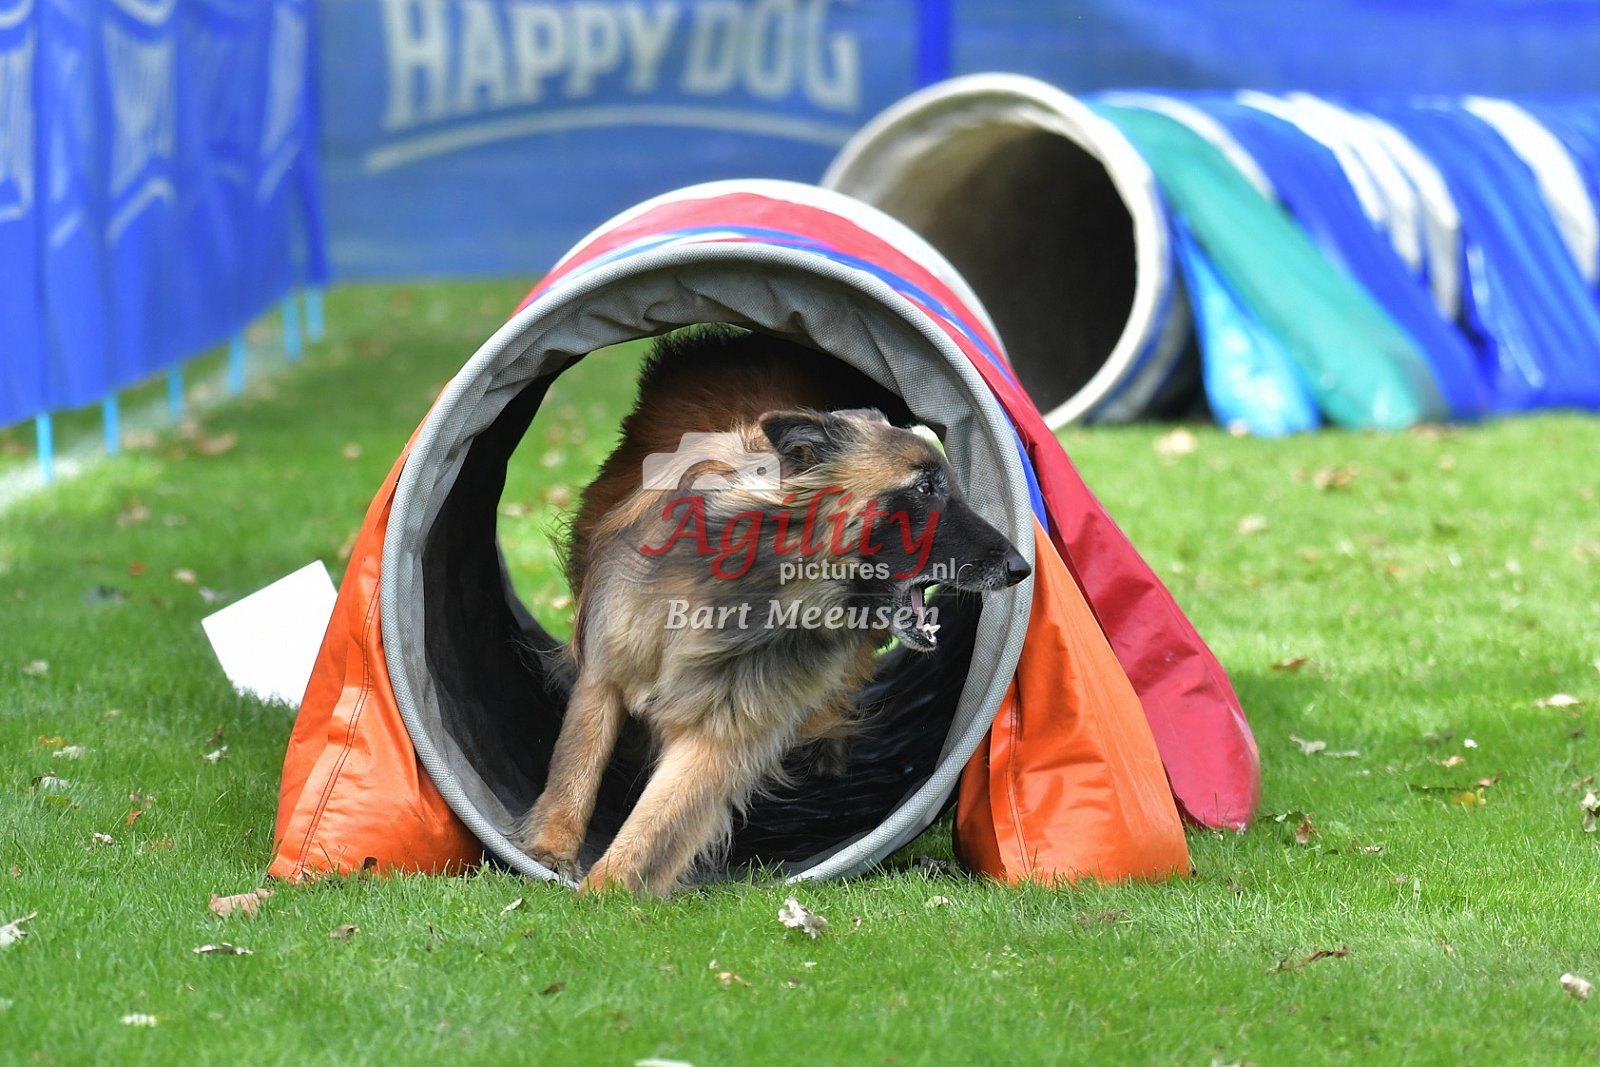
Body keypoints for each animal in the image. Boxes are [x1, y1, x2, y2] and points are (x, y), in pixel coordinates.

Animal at [519, 325, 1031, 896]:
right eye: (924, 487)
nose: (1021, 567)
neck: (764, 589)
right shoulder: (608, 665)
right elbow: (575, 765)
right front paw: (551, 852)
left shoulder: (724, 730)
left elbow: (655, 823)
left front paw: (602, 892)